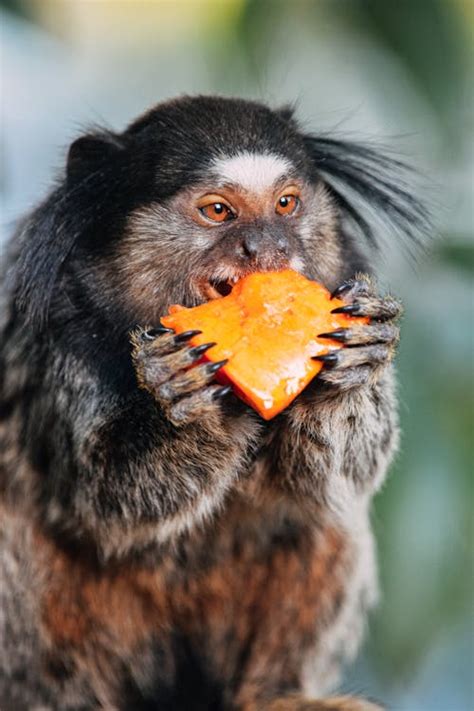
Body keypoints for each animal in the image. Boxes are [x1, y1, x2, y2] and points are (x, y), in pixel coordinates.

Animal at [0, 95, 427, 710]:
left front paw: (353, 366)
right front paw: (183, 401)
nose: (271, 246)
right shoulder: (60, 338)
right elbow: (102, 495)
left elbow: (339, 473)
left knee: (326, 515)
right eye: (219, 211)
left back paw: (273, 695)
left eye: (286, 204)